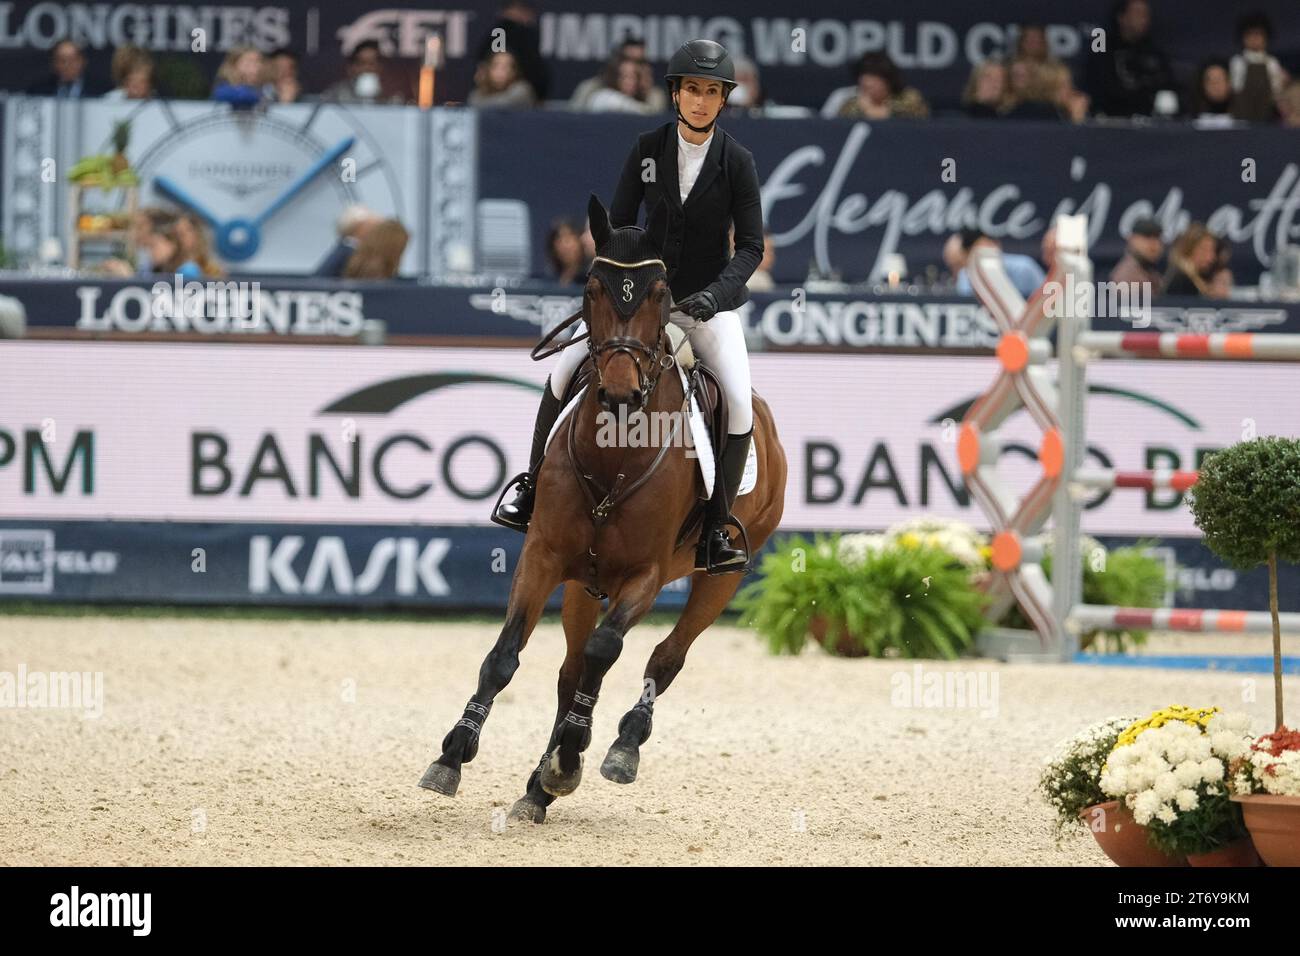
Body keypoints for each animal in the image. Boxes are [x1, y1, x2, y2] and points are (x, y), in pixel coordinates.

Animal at [418, 195, 780, 822]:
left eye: (660, 292)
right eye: (591, 287)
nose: (617, 391)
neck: (617, 457)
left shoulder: (647, 575)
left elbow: (606, 650)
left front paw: (572, 758)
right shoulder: (544, 556)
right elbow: (505, 655)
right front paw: (453, 755)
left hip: (722, 577)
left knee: (662, 657)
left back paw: (617, 747)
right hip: (583, 585)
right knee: (571, 671)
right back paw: (538, 787)